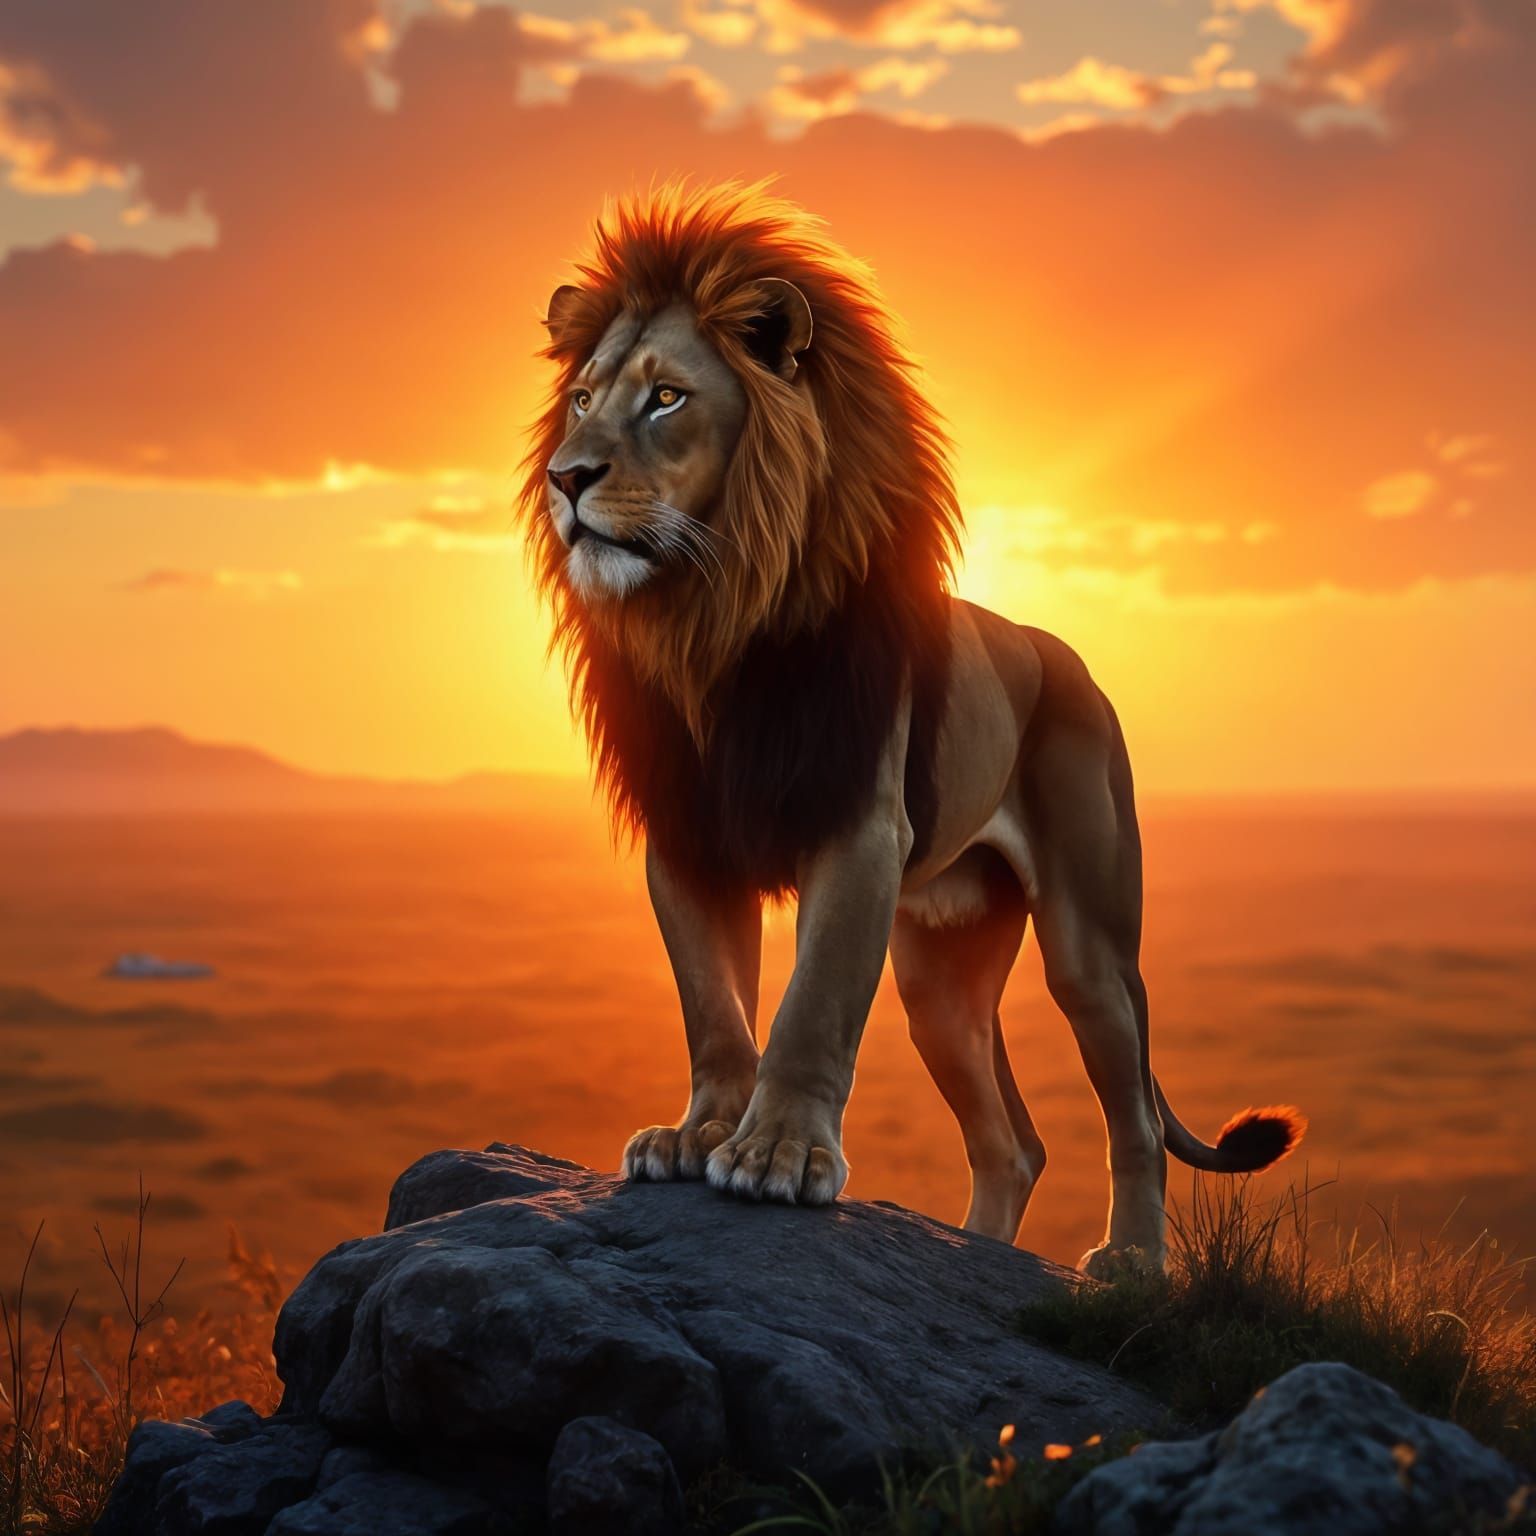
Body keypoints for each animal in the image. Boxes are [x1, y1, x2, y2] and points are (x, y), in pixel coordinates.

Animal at [519, 182, 1304, 1275]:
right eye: (584, 400)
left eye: (667, 398)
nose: (566, 477)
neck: (710, 619)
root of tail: (1066, 659)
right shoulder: (688, 837)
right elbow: (714, 1007)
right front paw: (698, 1135)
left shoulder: (858, 824)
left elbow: (811, 1004)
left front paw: (777, 1155)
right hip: (939, 977)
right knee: (1013, 1142)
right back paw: (979, 1255)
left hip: (1090, 945)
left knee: (1135, 1117)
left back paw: (1132, 1264)